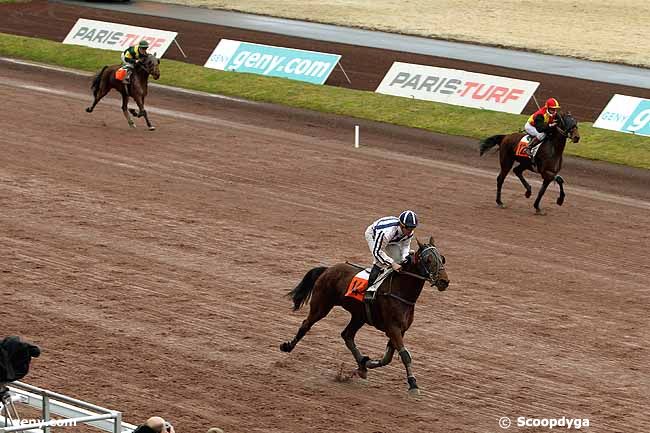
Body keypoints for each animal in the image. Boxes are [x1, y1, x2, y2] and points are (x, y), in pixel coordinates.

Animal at [280, 236, 448, 394]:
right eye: (428, 260)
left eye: (442, 258)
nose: (444, 281)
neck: (400, 291)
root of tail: (328, 269)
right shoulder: (392, 328)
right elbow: (405, 355)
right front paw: (413, 384)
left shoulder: (401, 330)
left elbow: (388, 357)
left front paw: (368, 362)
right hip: (321, 306)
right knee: (306, 324)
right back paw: (287, 346)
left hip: (359, 316)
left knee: (347, 335)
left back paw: (361, 364)